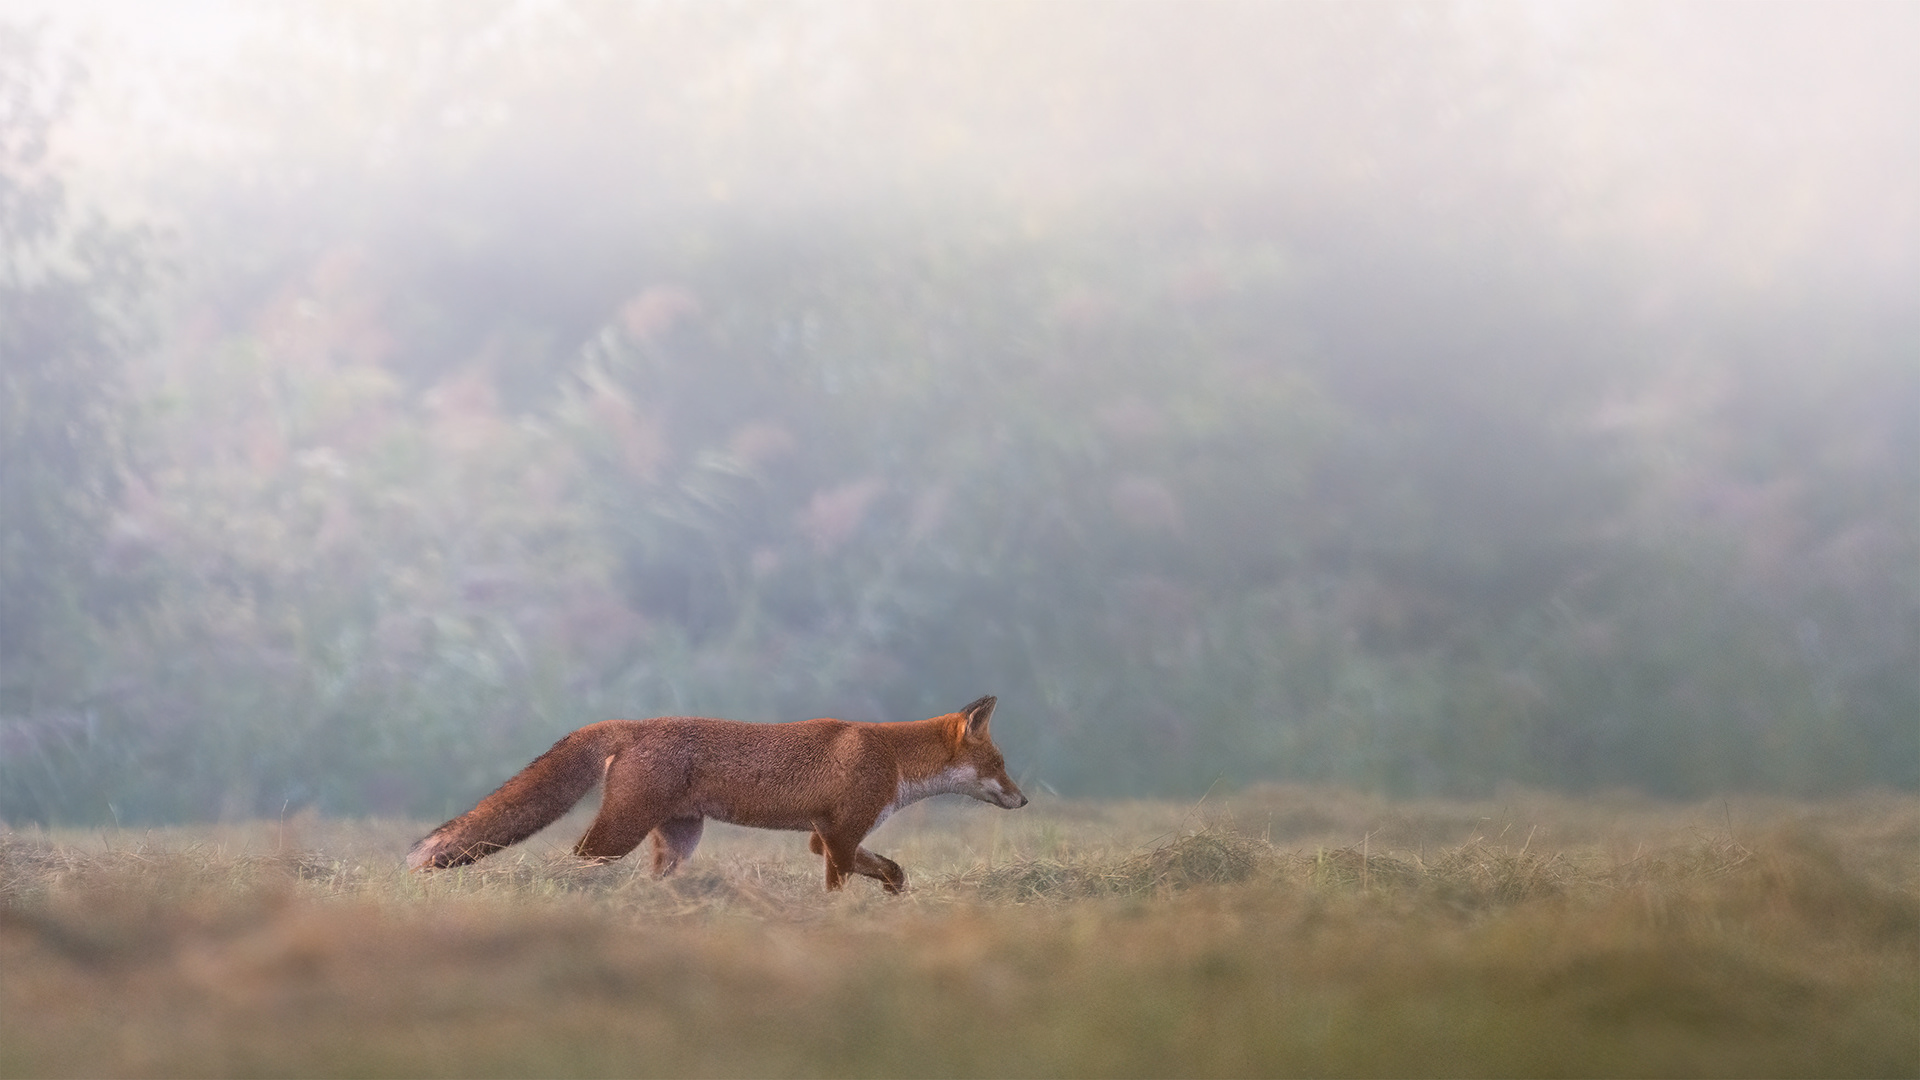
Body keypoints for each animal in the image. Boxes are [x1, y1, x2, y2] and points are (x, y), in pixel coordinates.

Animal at [407, 694, 1027, 892]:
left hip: (680, 841)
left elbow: (884, 867)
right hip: (620, 831)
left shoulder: (826, 836)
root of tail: (633, 722)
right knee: (579, 858)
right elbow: (841, 884)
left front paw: (894, 890)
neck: (893, 760)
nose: (1024, 801)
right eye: (1000, 765)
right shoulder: (840, 832)